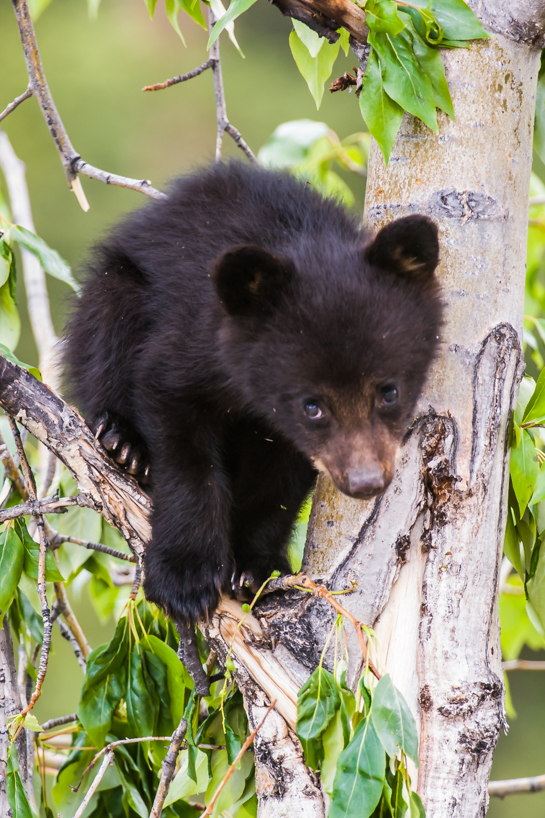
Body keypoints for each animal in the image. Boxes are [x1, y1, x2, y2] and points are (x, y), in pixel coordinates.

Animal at [64, 161, 442, 626]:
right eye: (312, 406)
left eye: (389, 391)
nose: (365, 481)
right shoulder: (191, 343)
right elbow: (184, 450)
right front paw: (185, 578)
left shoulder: (286, 435)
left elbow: (278, 483)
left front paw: (252, 568)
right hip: (114, 289)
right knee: (105, 333)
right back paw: (124, 443)